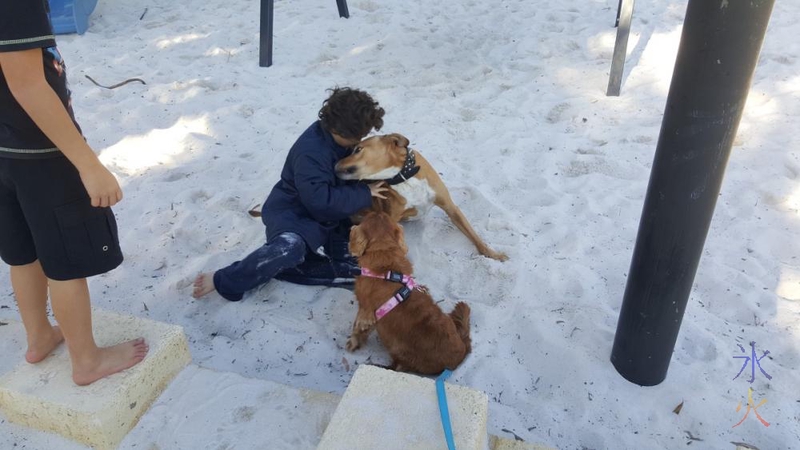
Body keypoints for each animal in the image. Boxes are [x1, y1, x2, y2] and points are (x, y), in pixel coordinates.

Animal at [334, 132, 510, 262]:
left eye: (358, 149)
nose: (334, 166)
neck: (404, 176)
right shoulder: (390, 218)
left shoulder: (450, 207)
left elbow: (474, 235)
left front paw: (493, 254)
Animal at [346, 213, 472, 374]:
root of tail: (460, 353)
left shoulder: (365, 312)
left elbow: (358, 329)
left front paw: (353, 343)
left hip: (399, 350)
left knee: (399, 366)